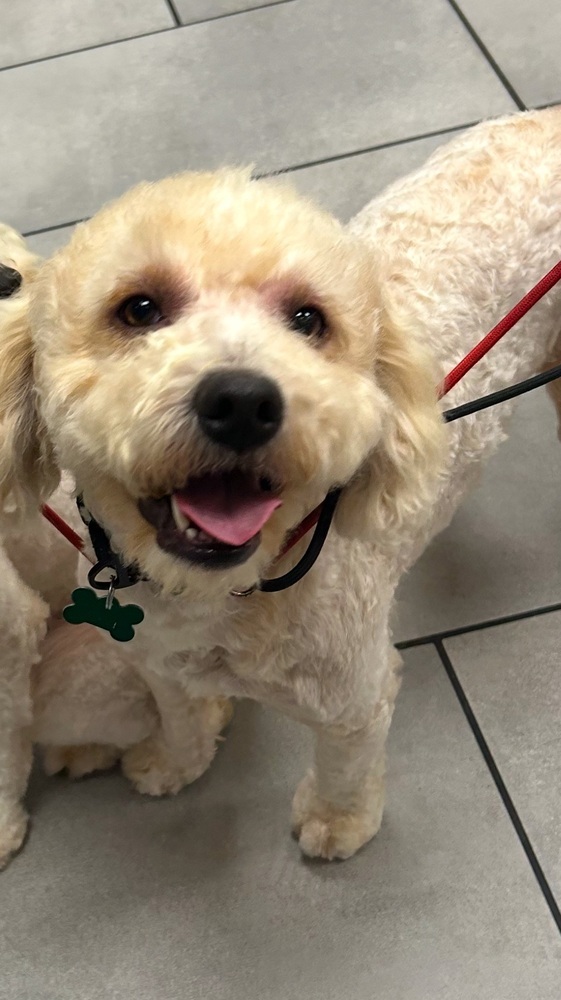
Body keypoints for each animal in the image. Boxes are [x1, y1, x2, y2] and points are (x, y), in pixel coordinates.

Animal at [1, 105, 560, 864]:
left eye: (306, 320)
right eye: (138, 309)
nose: (241, 401)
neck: (227, 595)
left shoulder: (354, 697)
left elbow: (345, 765)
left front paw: (337, 822)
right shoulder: (158, 662)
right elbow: (180, 715)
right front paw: (176, 761)